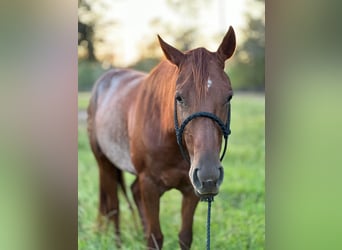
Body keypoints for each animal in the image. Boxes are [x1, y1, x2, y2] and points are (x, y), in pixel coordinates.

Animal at [87, 26, 235, 249]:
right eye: (179, 97)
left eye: (228, 96)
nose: (209, 176)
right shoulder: (149, 185)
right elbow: (155, 237)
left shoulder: (191, 189)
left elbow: (184, 236)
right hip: (104, 164)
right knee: (113, 207)